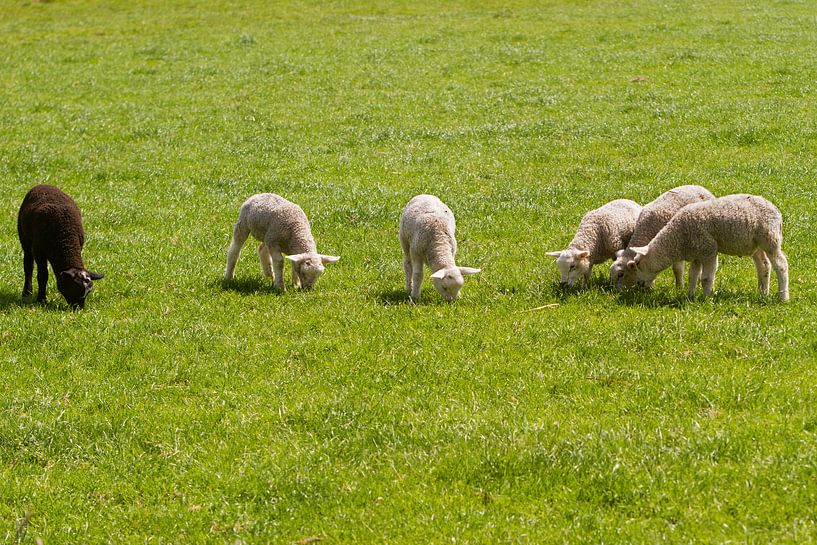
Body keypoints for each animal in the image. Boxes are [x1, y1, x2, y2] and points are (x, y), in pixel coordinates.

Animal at [624, 192, 792, 302]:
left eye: (637, 263)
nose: (639, 284)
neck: (678, 237)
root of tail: (777, 211)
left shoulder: (709, 249)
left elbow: (705, 278)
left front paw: (705, 298)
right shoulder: (697, 252)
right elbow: (692, 275)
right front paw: (690, 296)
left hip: (770, 239)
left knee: (781, 265)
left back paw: (783, 297)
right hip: (755, 244)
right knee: (764, 266)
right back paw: (763, 293)